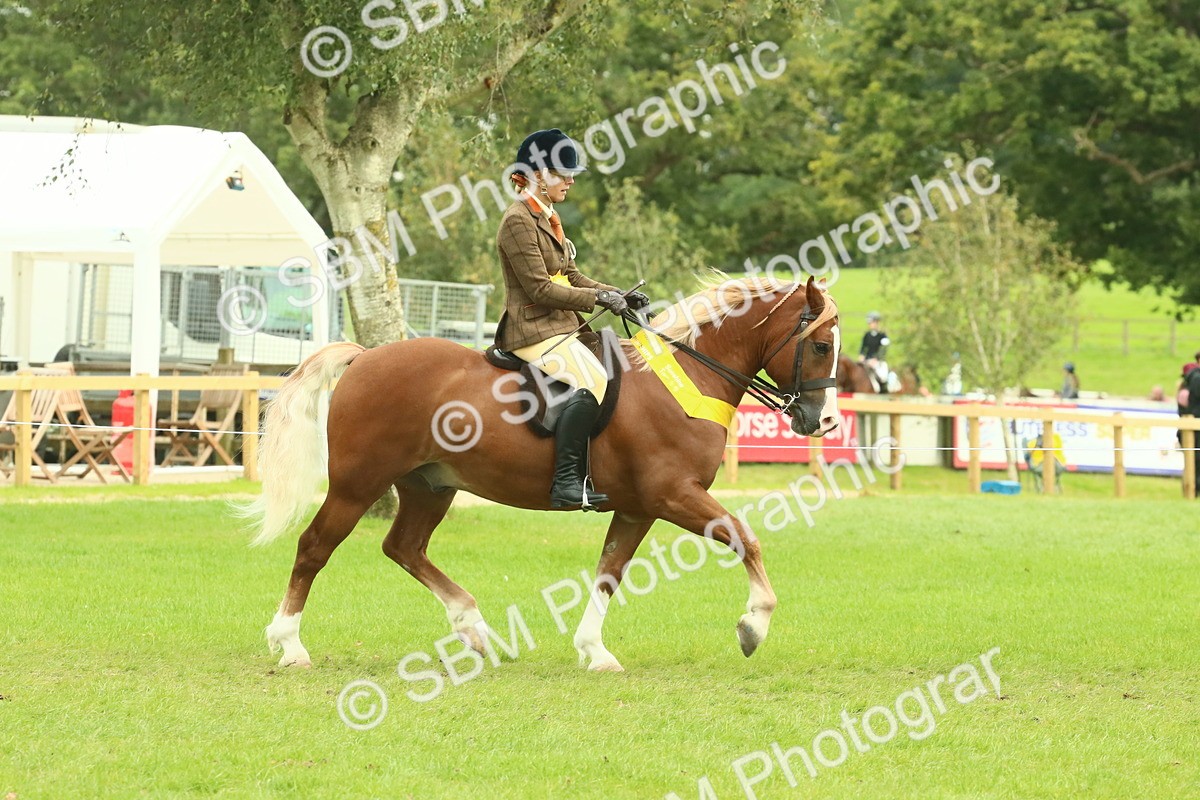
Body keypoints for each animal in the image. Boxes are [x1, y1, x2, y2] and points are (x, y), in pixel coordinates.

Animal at [246, 276, 841, 672]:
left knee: (404, 547)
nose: (825, 421)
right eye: (820, 345)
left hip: (430, 486)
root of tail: (365, 357)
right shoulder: (674, 495)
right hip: (357, 485)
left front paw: (594, 651)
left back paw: (474, 629)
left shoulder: (638, 508)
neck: (686, 379)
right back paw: (290, 644)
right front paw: (753, 626)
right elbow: (746, 539)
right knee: (315, 547)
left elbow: (609, 573)